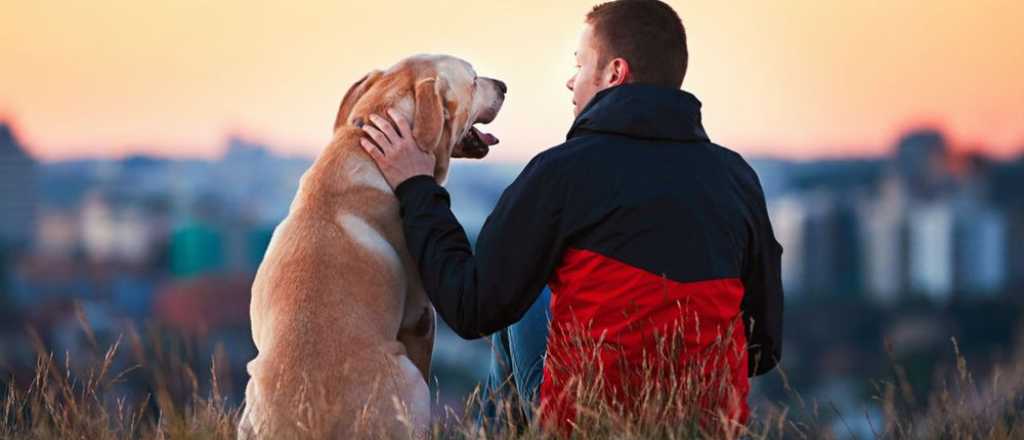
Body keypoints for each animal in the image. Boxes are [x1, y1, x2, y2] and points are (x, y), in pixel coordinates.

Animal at [233, 55, 503, 440]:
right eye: (475, 79)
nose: (504, 86)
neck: (363, 144)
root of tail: (308, 426)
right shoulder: (421, 316)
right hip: (409, 381)